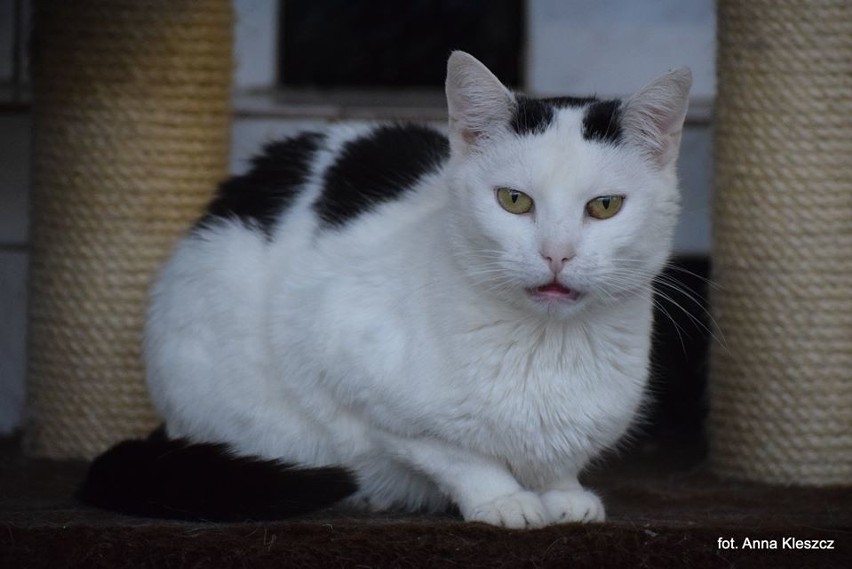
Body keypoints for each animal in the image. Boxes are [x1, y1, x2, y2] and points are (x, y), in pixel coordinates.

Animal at [83, 52, 688, 528]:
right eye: (514, 200)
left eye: (604, 206)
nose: (556, 253)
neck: (547, 348)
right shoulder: (342, 366)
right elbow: (456, 454)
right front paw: (505, 500)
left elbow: (559, 463)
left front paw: (563, 494)